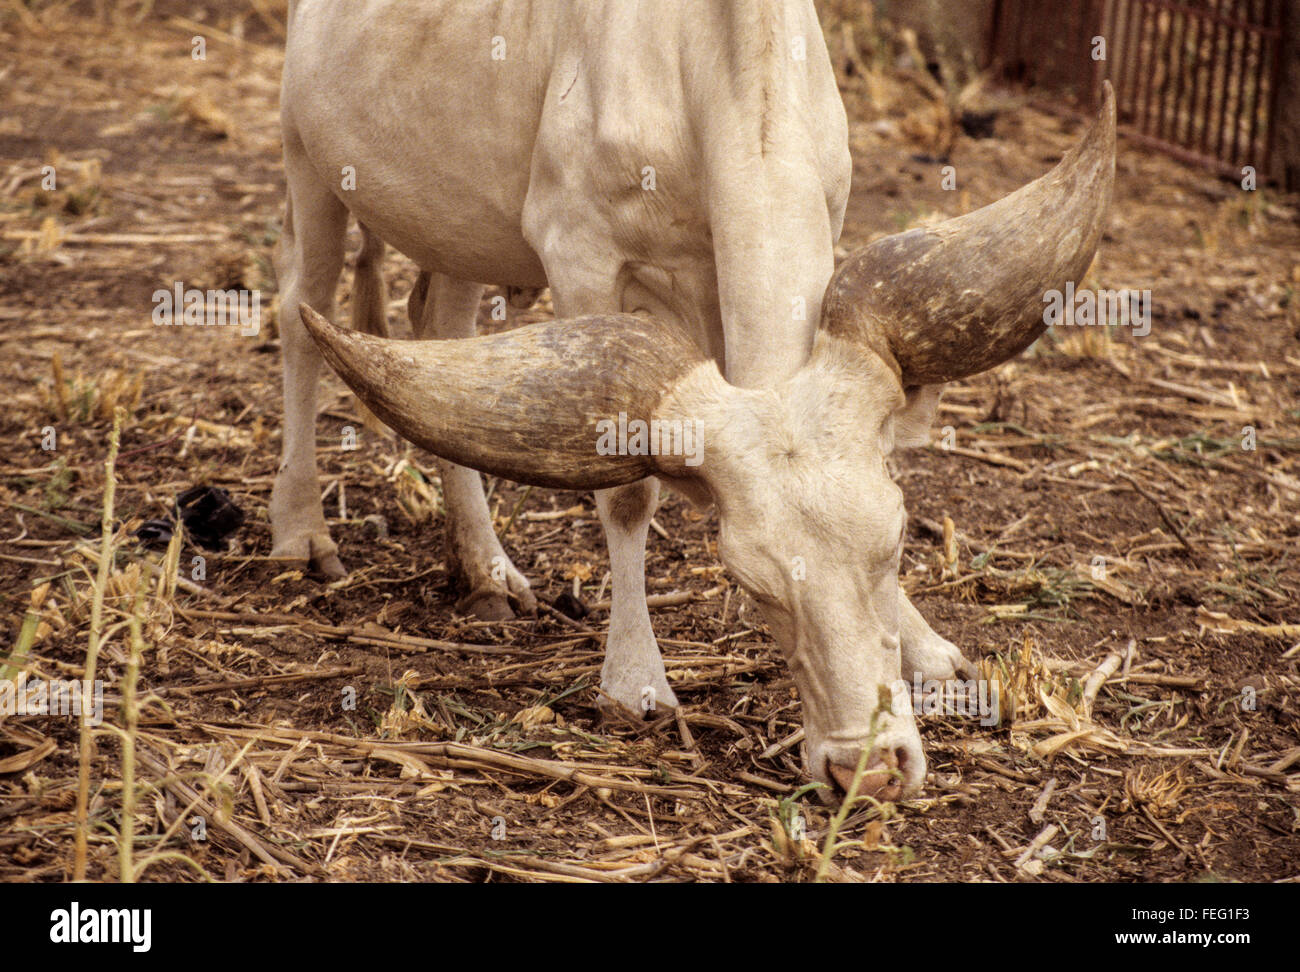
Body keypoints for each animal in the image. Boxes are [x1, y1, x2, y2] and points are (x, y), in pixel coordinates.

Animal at [274, 0, 1118, 795]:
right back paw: (303, 530)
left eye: (896, 542)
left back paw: (486, 568)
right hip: (307, 161)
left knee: (438, 327)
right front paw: (635, 680)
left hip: (457, 230)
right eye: (751, 585)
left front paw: (925, 646)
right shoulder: (580, 254)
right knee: (298, 314)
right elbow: (626, 496)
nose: (869, 771)